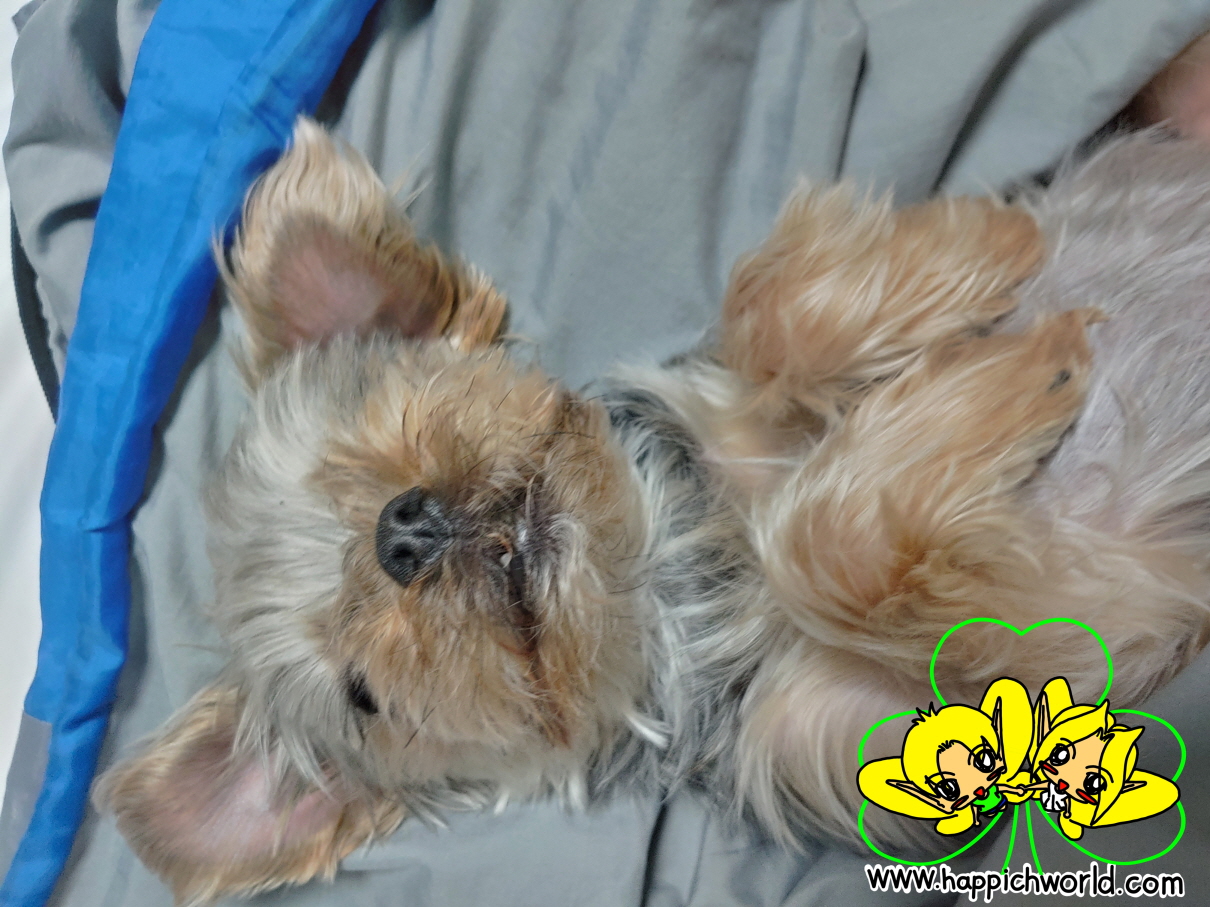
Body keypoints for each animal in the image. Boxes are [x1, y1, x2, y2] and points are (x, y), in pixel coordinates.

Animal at [94, 120, 1210, 904]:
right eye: (364, 696)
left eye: (369, 435)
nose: (402, 533)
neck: (682, 574)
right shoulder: (835, 731)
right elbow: (837, 551)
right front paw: (1032, 366)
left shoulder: (739, 407)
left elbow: (766, 307)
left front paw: (989, 240)